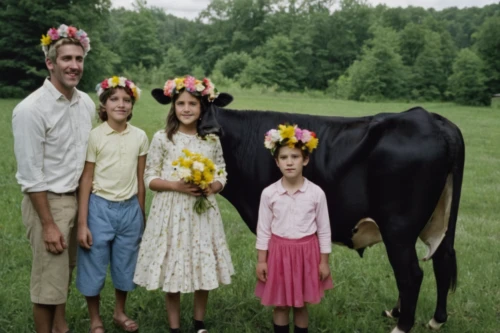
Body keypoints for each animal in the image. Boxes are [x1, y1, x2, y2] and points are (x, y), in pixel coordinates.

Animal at [151, 89, 464, 330]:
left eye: (212, 102)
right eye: (189, 104)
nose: (210, 129)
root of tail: (429, 118)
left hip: (398, 226)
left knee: (411, 272)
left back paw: (402, 325)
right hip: (440, 219)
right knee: (443, 257)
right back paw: (434, 319)